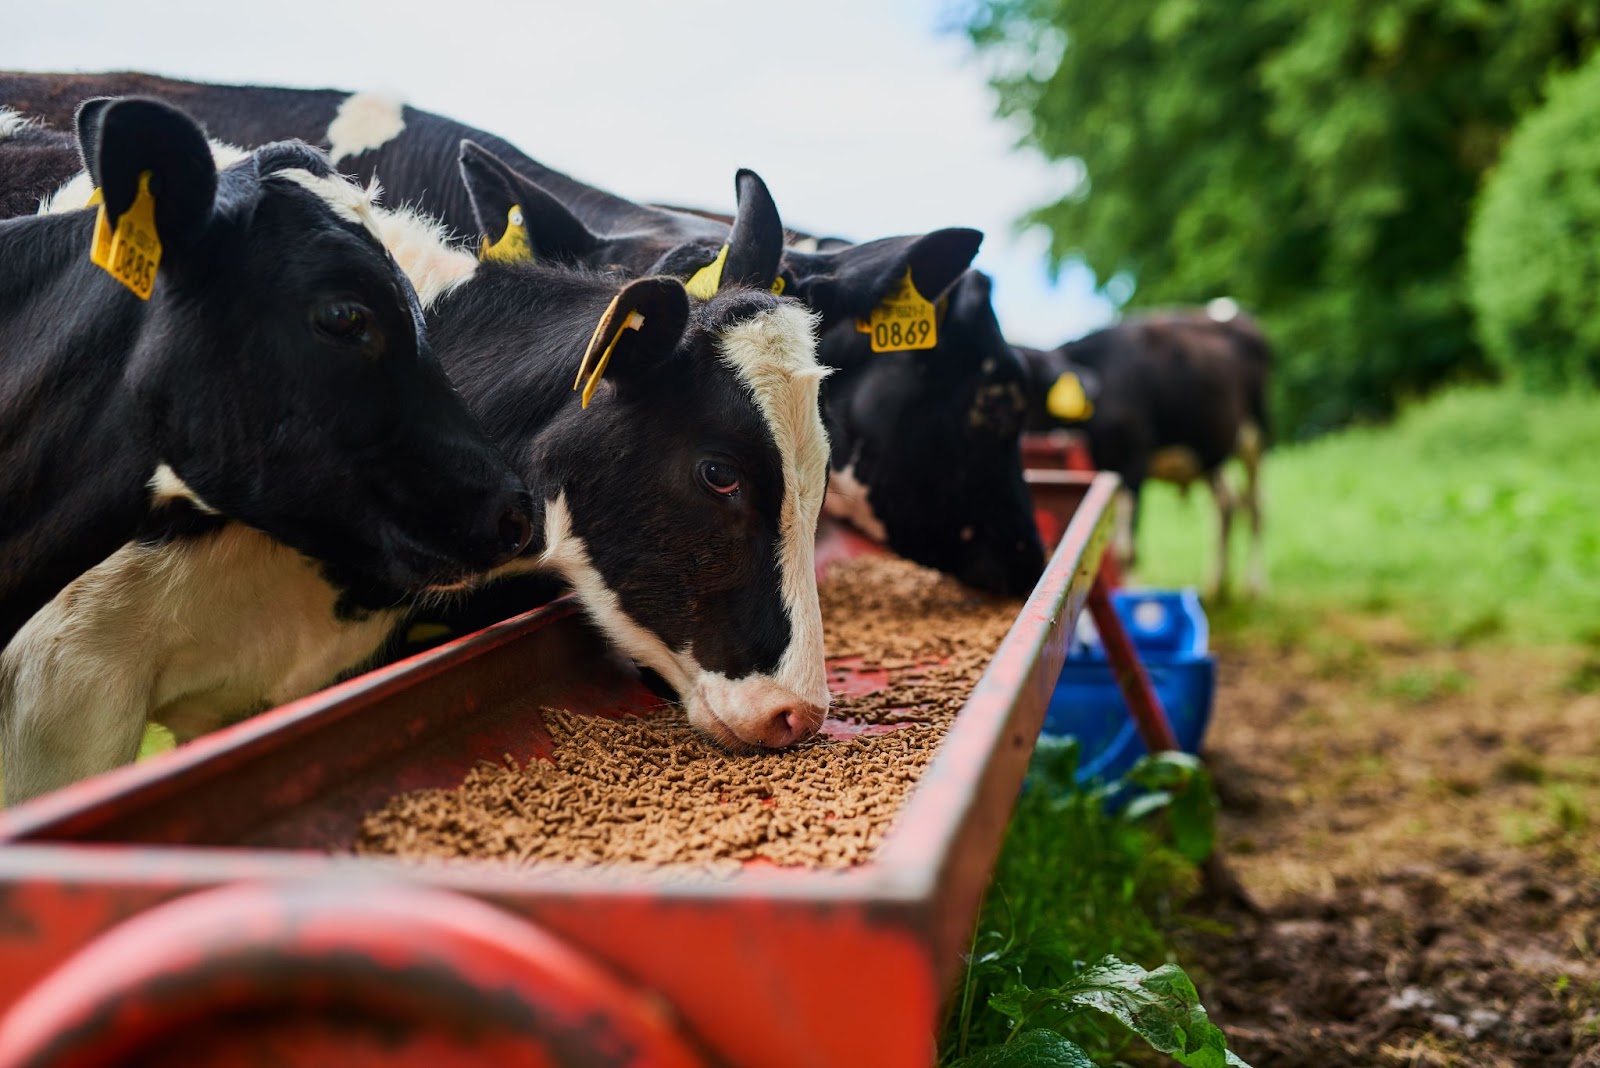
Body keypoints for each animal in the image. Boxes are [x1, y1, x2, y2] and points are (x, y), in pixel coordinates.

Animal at [1017, 303, 1267, 597]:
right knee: (1227, 505)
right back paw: (1217, 586)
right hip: (1210, 452)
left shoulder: (1133, 462)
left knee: (1255, 508)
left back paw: (1254, 585)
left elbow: (1126, 549)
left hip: (1255, 437)